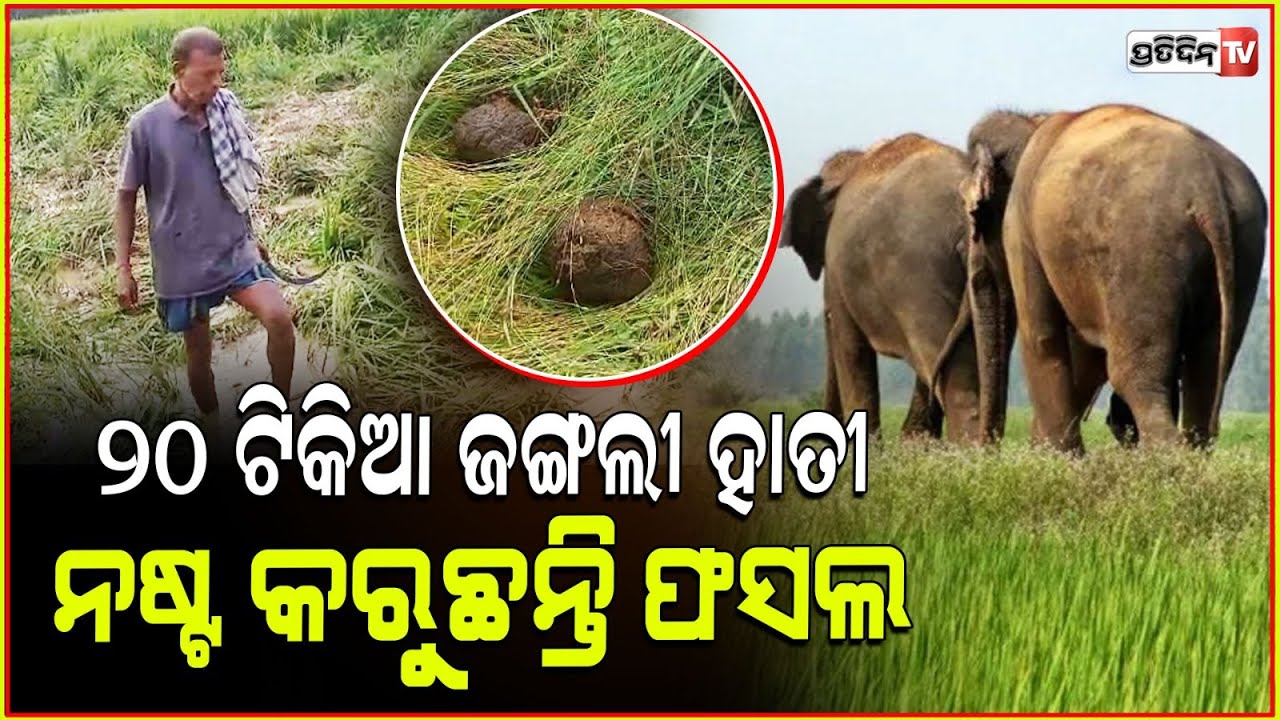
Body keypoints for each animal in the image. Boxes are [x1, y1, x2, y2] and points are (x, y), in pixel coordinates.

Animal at [962, 103, 1267, 452]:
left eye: (976, 215)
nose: (986, 449)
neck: (1032, 122)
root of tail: (1209, 191)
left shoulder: (1021, 229)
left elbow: (1042, 335)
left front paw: (1057, 457)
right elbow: (1086, 355)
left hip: (1143, 255)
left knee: (1134, 376)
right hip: (1244, 248)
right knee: (1205, 377)